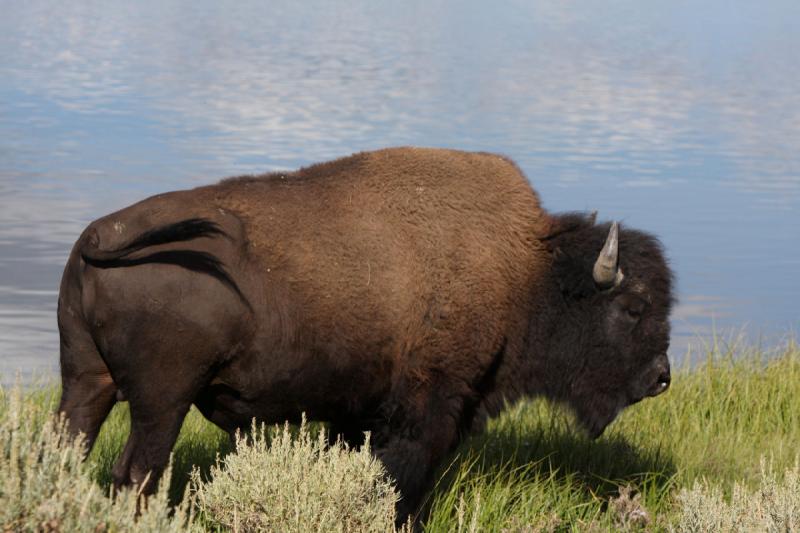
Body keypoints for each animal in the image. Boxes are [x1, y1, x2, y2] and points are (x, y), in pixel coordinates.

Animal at [56, 147, 672, 520]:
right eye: (633, 307)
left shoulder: (355, 414)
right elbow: (404, 481)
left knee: (70, 449)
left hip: (86, 381)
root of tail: (96, 236)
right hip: (162, 401)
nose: (661, 378)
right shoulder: (427, 411)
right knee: (136, 474)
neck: (525, 272)